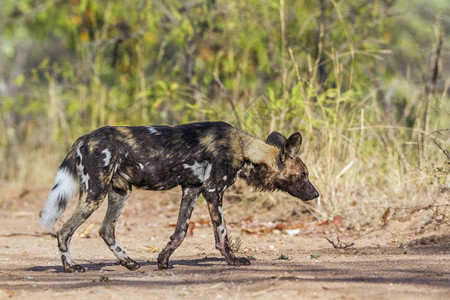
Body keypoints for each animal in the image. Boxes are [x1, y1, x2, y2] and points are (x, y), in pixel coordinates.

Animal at [39, 121, 320, 272]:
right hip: (94, 194)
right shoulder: (213, 191)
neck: (244, 149)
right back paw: (70, 268)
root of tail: (83, 138)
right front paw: (233, 260)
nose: (316, 193)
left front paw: (162, 260)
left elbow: (180, 232)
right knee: (63, 231)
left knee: (106, 230)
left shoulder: (191, 189)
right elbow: (222, 236)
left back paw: (130, 263)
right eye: (303, 175)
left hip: (120, 193)